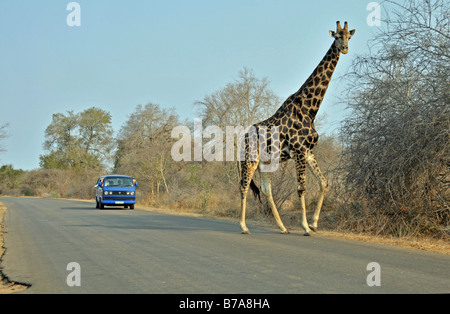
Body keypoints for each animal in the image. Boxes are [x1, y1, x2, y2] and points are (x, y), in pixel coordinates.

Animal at [239, 21, 356, 236]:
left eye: (349, 37)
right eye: (336, 36)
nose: (344, 48)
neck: (310, 109)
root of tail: (242, 137)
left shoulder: (308, 151)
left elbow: (324, 182)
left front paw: (315, 223)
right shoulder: (300, 151)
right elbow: (301, 188)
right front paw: (305, 227)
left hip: (265, 163)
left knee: (266, 189)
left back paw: (283, 227)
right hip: (250, 160)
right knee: (243, 186)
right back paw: (243, 227)